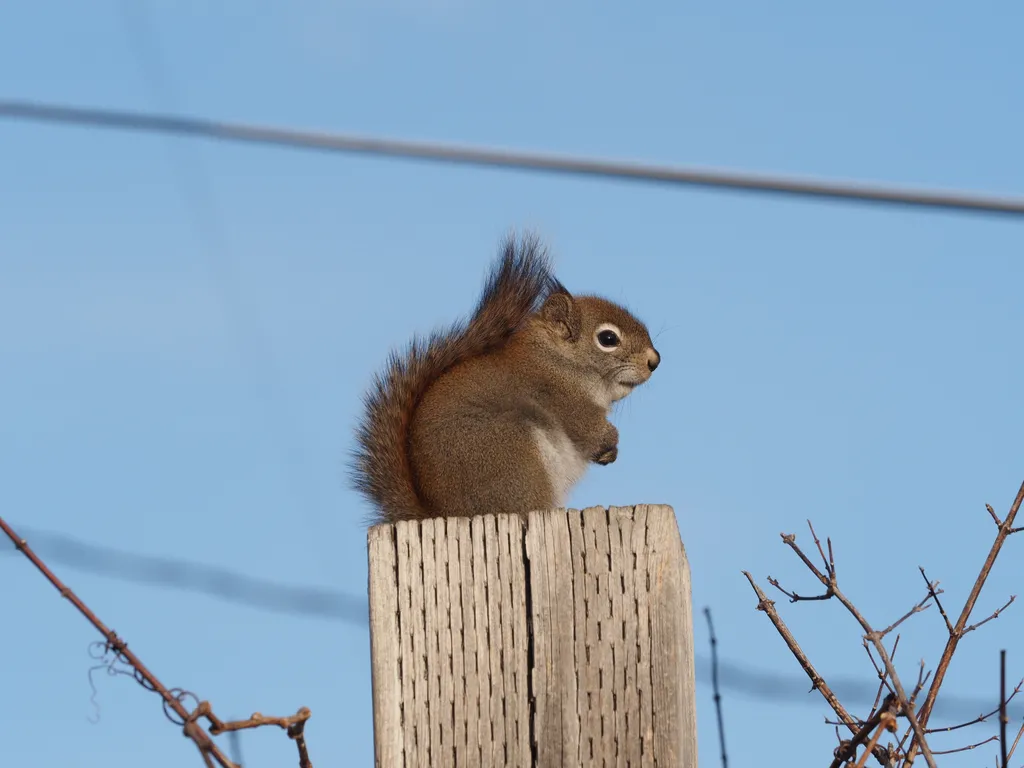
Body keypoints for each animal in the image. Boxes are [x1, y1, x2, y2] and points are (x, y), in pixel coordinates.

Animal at [348, 233, 659, 528]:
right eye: (608, 338)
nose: (654, 361)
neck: (559, 359)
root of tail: (441, 514)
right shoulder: (559, 395)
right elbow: (586, 426)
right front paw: (610, 441)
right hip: (513, 452)